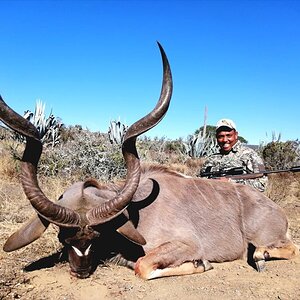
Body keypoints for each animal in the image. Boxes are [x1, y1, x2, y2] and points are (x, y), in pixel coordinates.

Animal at [1, 43, 298, 280]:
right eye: (62, 237)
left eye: (96, 236)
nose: (81, 271)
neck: (134, 209)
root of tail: (277, 211)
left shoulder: (185, 244)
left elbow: (142, 266)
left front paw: (201, 265)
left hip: (262, 237)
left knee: (284, 249)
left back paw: (259, 255)